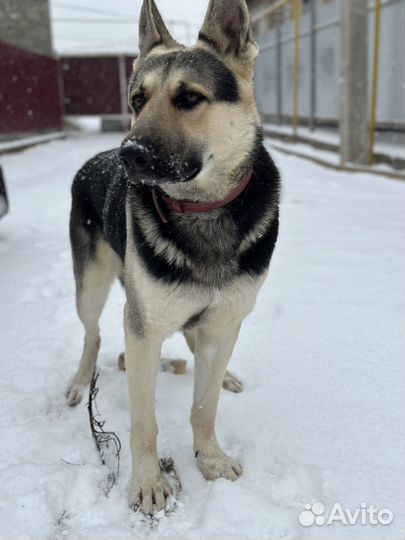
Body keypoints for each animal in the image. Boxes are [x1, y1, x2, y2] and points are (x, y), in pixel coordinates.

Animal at [68, 0, 280, 516]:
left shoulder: (224, 321)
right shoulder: (142, 330)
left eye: (188, 98)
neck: (202, 209)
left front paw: (211, 459)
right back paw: (81, 382)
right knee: (92, 336)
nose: (129, 154)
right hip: (92, 287)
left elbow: (203, 407)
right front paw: (147, 484)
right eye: (136, 100)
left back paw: (226, 377)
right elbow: (144, 423)